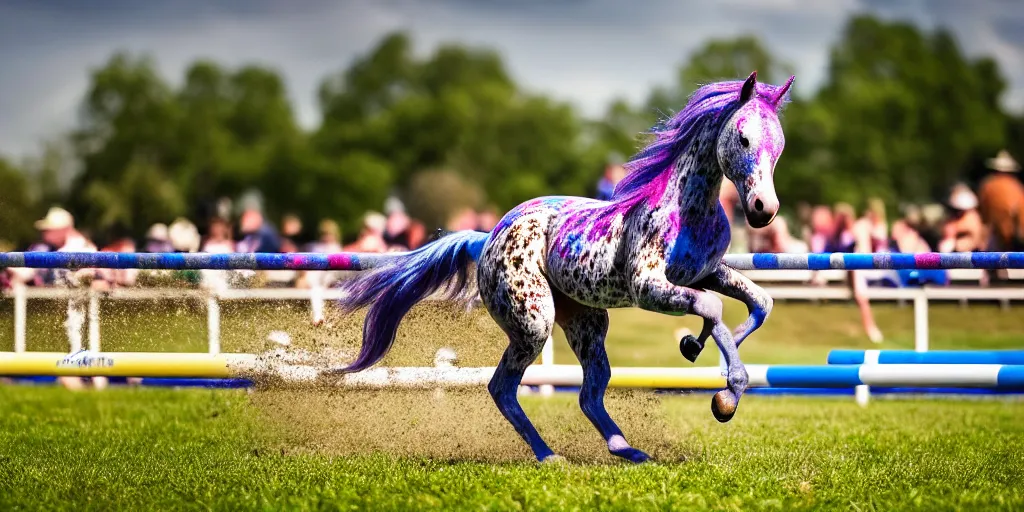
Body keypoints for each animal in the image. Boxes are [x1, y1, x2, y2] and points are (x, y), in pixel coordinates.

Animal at [327, 72, 790, 464]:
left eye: (779, 146)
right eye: (743, 138)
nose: (763, 209)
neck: (688, 208)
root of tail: (488, 236)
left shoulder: (704, 273)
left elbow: (760, 303)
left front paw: (695, 349)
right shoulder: (648, 287)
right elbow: (713, 308)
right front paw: (725, 397)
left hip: (587, 323)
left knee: (588, 395)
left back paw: (629, 451)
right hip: (534, 322)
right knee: (502, 388)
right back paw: (550, 456)